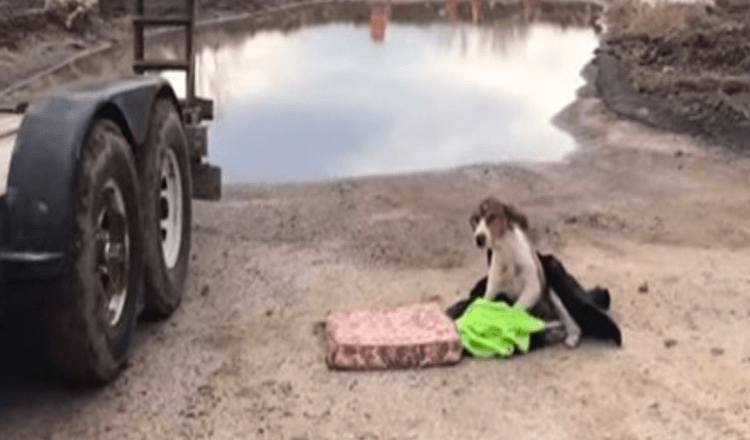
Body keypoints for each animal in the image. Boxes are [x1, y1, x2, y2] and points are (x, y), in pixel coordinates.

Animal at [472, 197, 584, 348]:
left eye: (492, 217)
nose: (479, 239)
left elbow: (513, 310)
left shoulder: (532, 288)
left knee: (570, 321)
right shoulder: (492, 289)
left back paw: (570, 335)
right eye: (476, 220)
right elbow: (481, 304)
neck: (506, 251)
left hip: (554, 294)